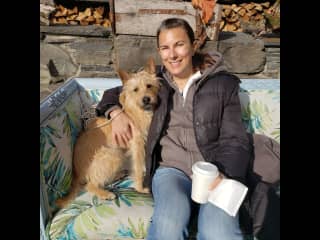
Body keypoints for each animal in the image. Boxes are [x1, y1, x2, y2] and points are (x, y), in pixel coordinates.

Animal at [56, 58, 160, 208]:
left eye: (149, 86)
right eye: (135, 90)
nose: (146, 99)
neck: (138, 110)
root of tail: (76, 173)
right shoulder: (137, 146)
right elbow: (139, 168)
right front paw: (140, 188)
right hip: (113, 154)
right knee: (90, 184)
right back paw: (104, 193)